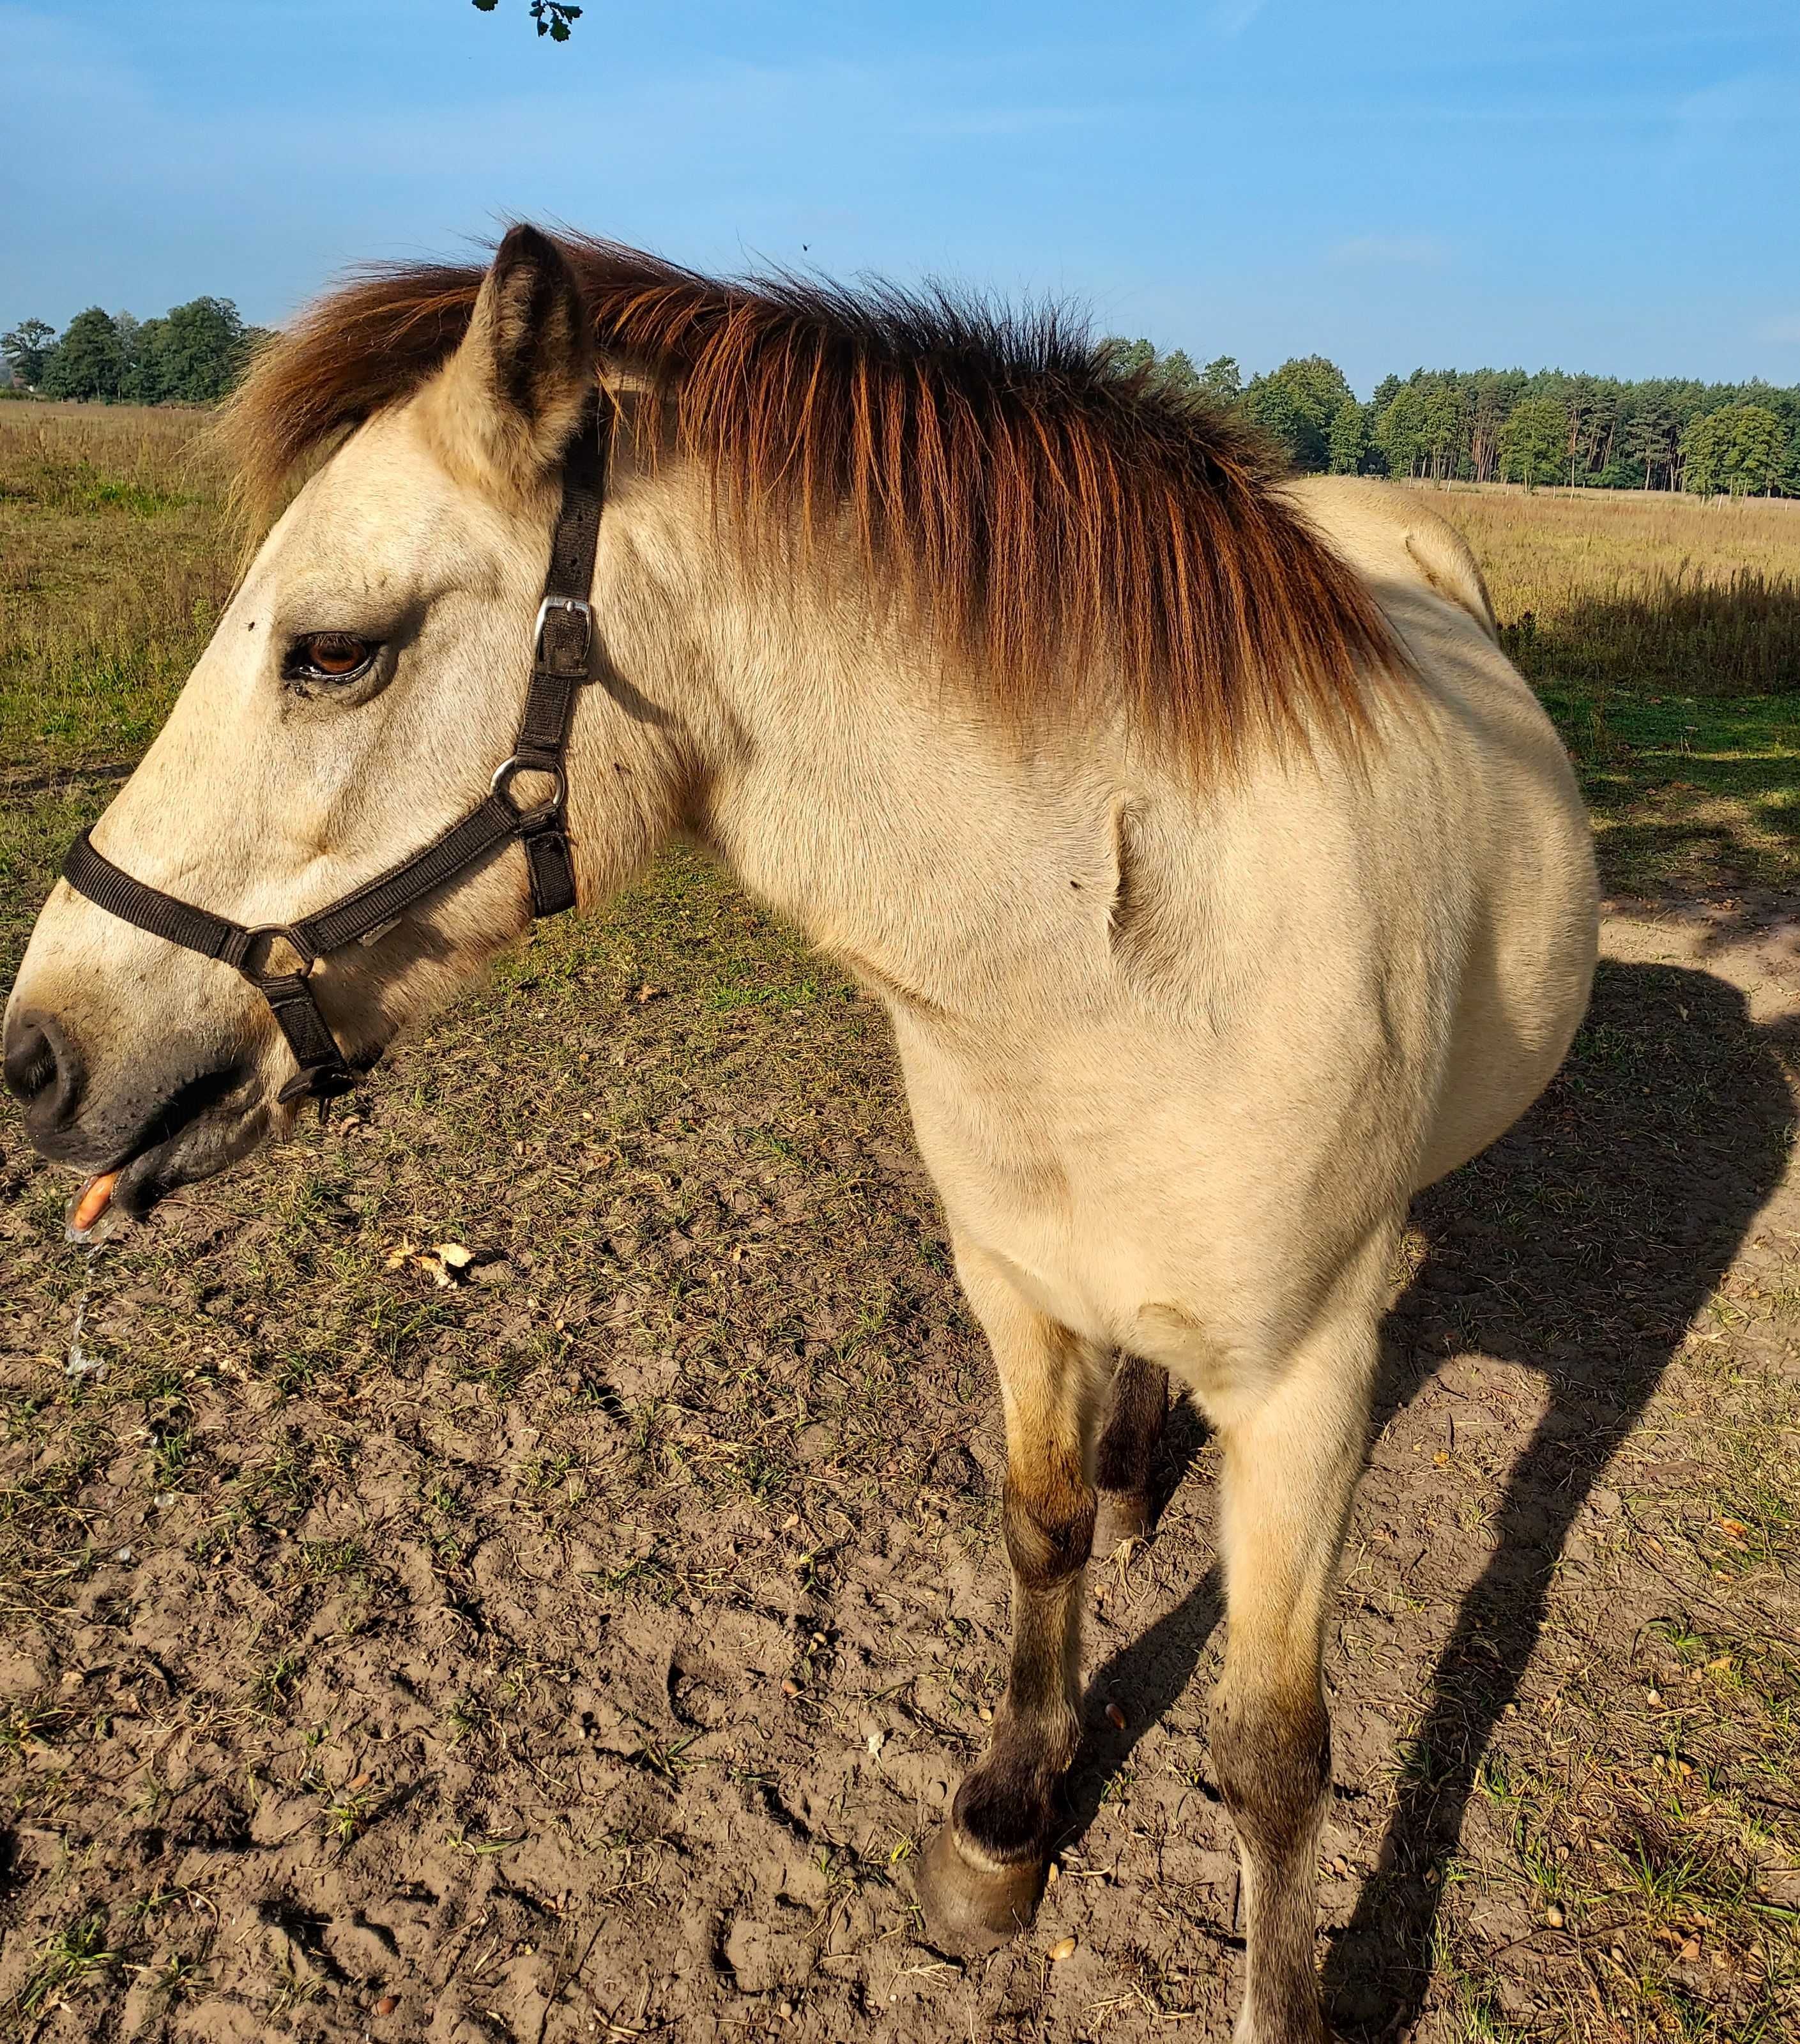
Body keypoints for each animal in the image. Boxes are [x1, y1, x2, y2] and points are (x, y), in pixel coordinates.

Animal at [10, 224, 1585, 2044]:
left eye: (333, 652)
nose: (35, 1054)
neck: (1127, 934)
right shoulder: (1014, 1288)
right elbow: (1038, 1533)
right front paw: (1003, 1822)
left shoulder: (1306, 1387)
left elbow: (1270, 1753)